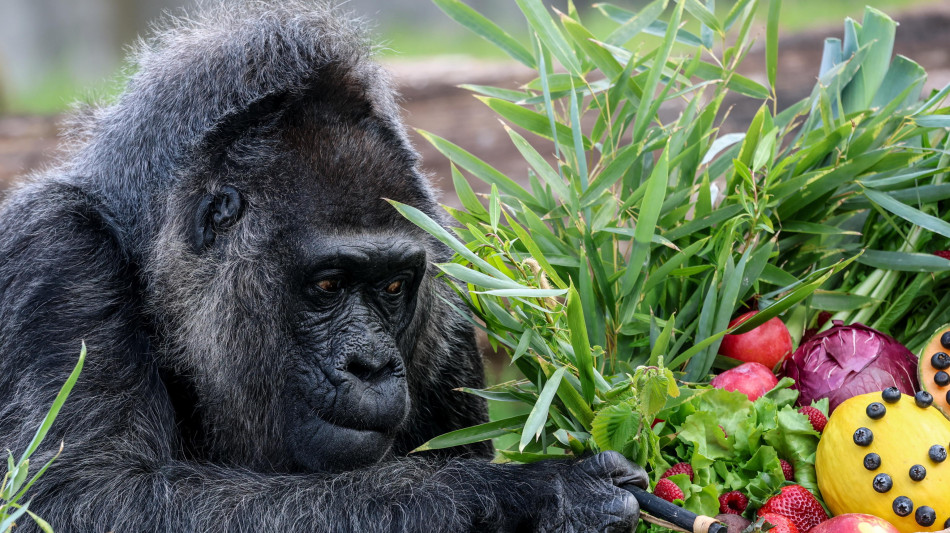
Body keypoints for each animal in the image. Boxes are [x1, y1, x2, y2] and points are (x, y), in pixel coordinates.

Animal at [0, 2, 646, 531]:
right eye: (329, 285)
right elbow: (84, 497)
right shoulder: (57, 256)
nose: (373, 365)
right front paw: (528, 495)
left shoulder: (450, 286)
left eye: (393, 286)